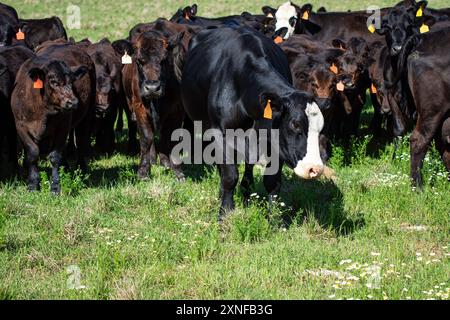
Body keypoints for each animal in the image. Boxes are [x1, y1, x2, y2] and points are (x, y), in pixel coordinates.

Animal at [11, 42, 94, 192]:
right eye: (53, 82)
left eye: (72, 81)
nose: (73, 102)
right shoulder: (20, 126)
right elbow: (32, 154)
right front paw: (33, 184)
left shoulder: (63, 127)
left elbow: (55, 156)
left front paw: (55, 186)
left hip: (87, 115)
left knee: (81, 141)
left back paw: (82, 171)